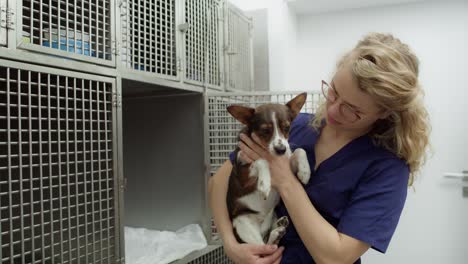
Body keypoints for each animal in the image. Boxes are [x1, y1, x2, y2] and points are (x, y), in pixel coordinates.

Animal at [227, 93, 310, 245]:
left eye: (287, 128)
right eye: (264, 131)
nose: (281, 150)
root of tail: (262, 229)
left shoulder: (287, 165)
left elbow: (300, 151)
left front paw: (305, 172)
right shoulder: (243, 176)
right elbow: (262, 160)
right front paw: (264, 184)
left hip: (272, 216)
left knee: (270, 244)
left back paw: (278, 229)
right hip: (243, 225)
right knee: (263, 247)